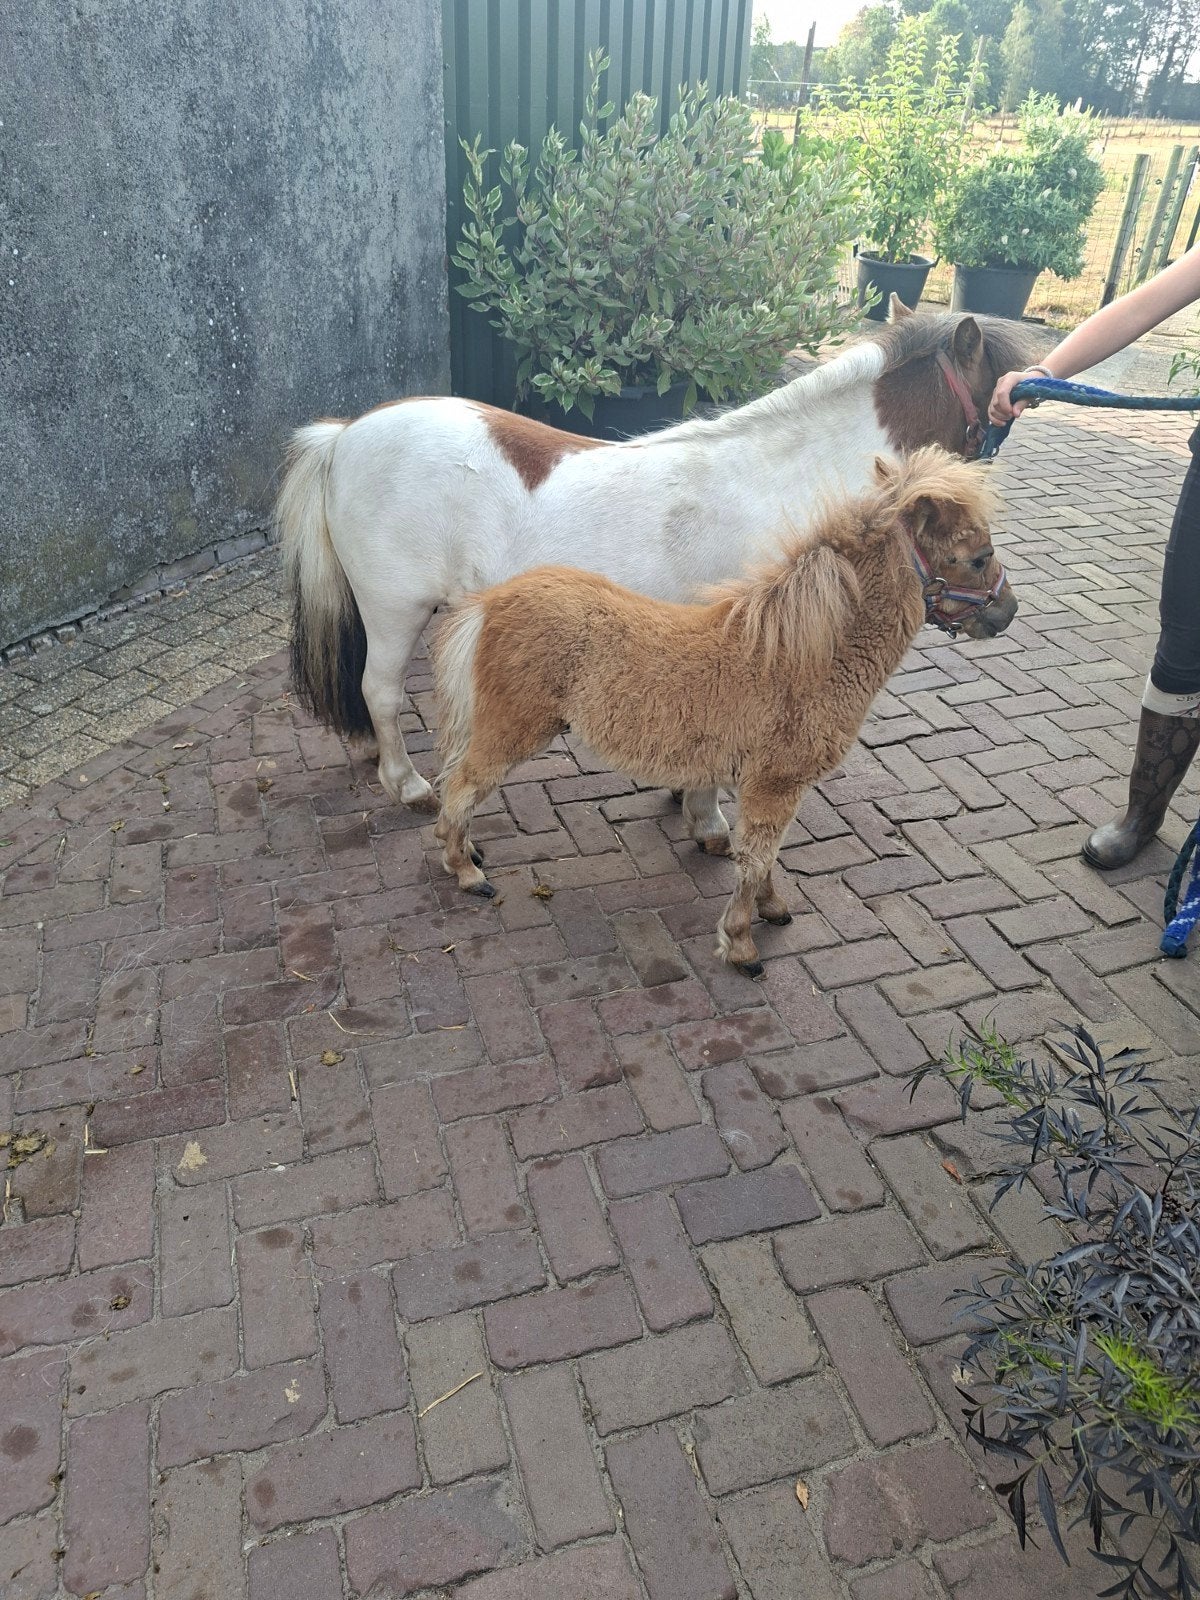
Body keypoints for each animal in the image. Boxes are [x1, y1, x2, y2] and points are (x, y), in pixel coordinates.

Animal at [277, 299, 1033, 846]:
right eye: (997, 408)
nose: (1005, 610)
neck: (788, 478)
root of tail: (343, 437)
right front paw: (708, 822)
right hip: (394, 610)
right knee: (379, 691)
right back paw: (407, 785)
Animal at [432, 446, 1013, 976]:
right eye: (979, 556)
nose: (1008, 613)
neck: (805, 655)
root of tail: (491, 602)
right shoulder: (775, 783)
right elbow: (755, 858)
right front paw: (741, 945)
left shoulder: (769, 785)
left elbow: (765, 854)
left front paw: (773, 909)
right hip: (514, 727)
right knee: (461, 785)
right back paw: (466, 871)